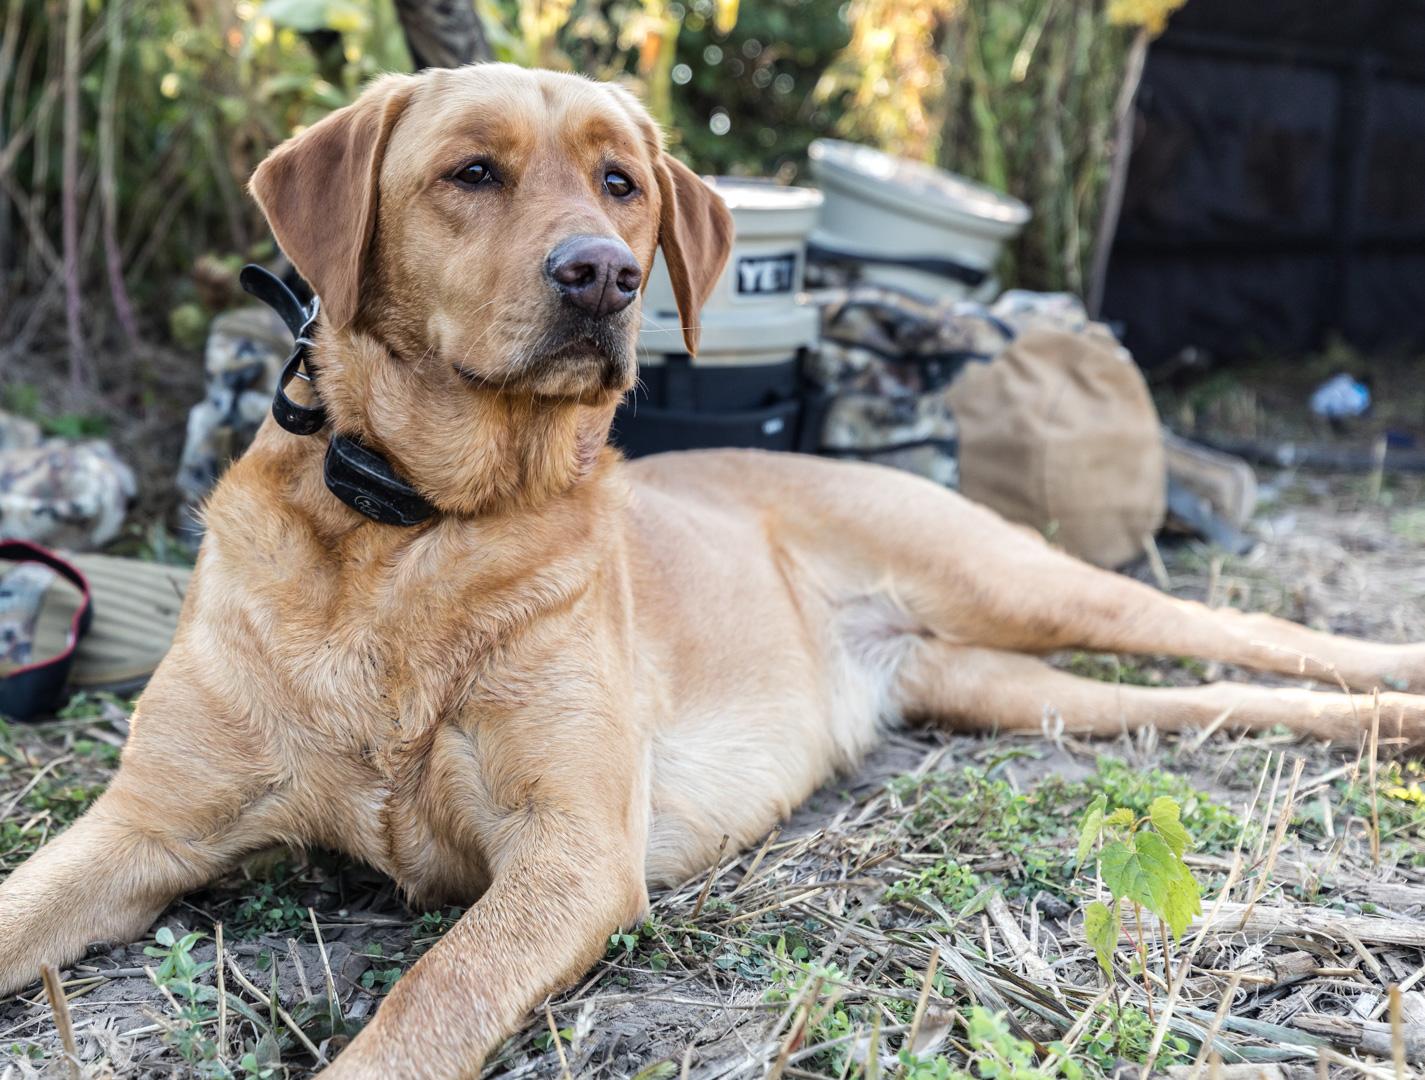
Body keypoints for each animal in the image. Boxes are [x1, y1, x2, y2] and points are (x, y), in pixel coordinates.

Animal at [2, 63, 1425, 1077]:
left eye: (622, 182)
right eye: (471, 172)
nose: (602, 277)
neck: (416, 526)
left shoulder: (574, 852)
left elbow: (427, 1004)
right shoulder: (144, 826)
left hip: (1030, 585)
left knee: (1244, 630)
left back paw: (1394, 673)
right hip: (1015, 689)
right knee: (1215, 699)